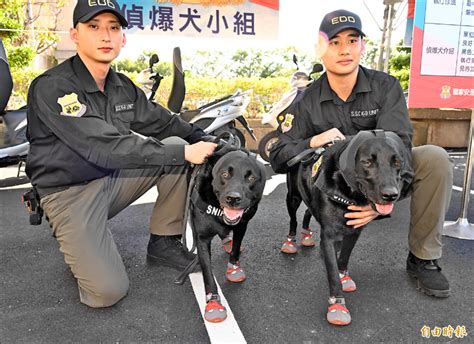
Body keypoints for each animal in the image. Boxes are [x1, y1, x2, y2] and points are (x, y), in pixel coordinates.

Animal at [190, 144, 266, 322]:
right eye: (225, 174)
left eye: (251, 178)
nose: (233, 198)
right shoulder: (202, 238)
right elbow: (208, 273)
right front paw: (213, 302)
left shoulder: (242, 226)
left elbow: (236, 248)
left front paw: (233, 267)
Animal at [298, 129, 412, 326]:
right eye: (367, 162)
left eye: (397, 162)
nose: (391, 195)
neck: (349, 194)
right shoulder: (329, 236)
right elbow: (332, 273)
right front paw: (338, 303)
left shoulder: (354, 231)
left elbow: (344, 257)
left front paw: (343, 274)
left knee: (308, 212)